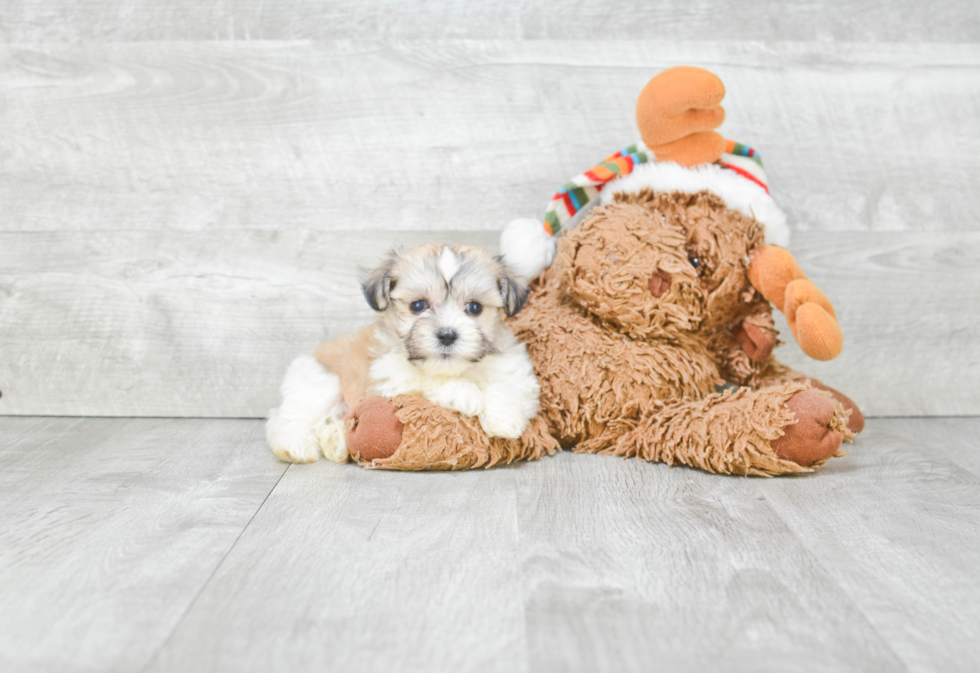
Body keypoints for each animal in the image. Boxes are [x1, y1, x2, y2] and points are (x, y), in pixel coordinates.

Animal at [266, 244, 536, 464]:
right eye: (418, 305)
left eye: (475, 307)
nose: (447, 334)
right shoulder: (388, 378)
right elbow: (427, 381)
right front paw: (465, 394)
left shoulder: (515, 367)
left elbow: (509, 385)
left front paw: (505, 419)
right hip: (319, 383)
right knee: (287, 418)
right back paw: (296, 447)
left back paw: (337, 442)